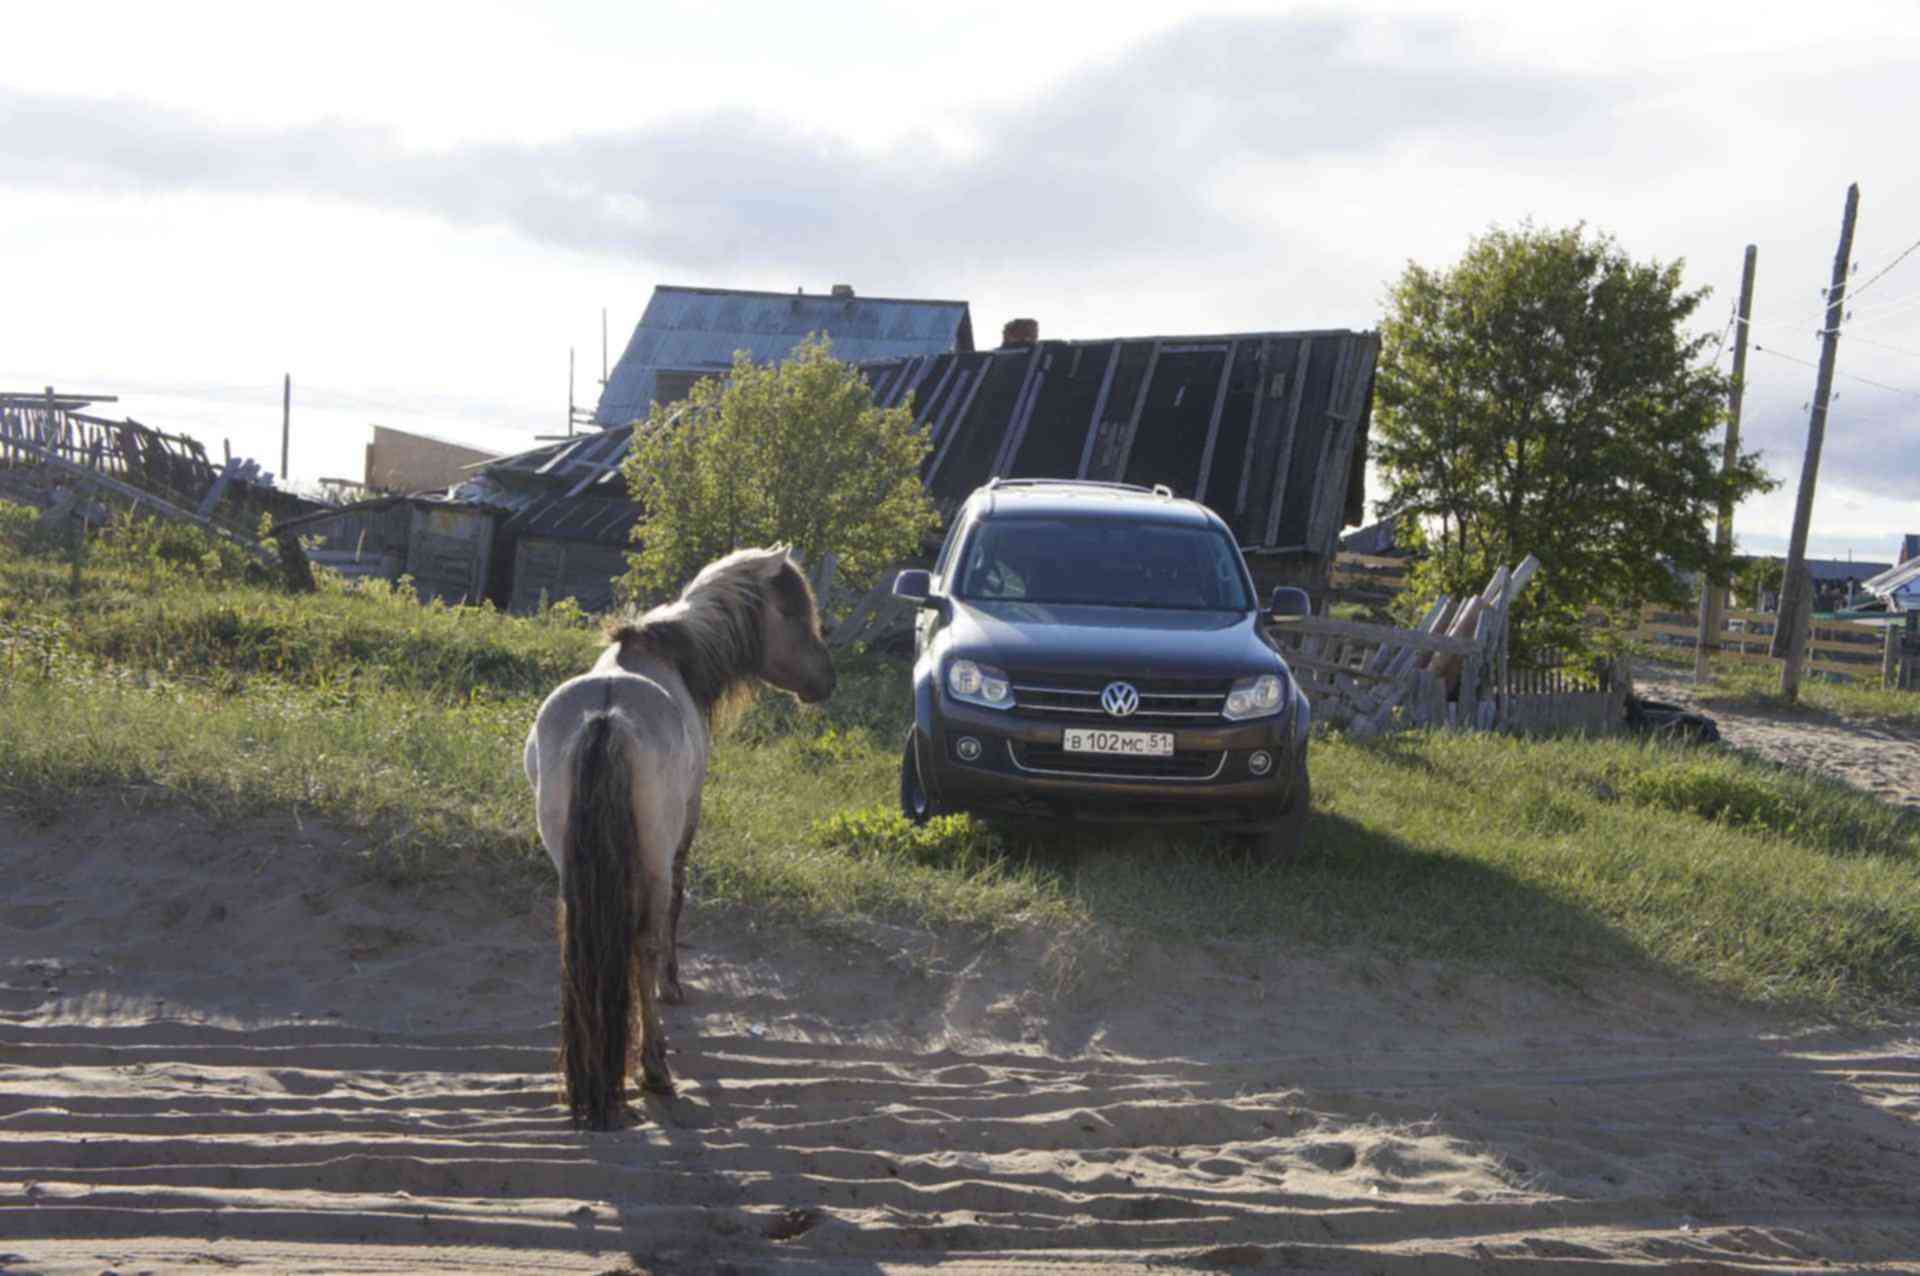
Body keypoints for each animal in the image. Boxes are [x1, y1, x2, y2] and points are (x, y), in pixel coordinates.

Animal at [526, 541, 833, 1120]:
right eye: (793, 610)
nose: (825, 680)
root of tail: (605, 717)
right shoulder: (686, 826)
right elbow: (676, 905)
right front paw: (673, 985)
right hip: (652, 857)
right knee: (643, 940)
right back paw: (654, 1068)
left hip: (568, 861)